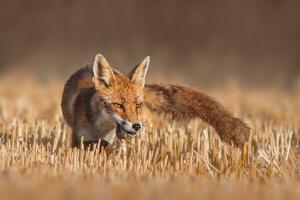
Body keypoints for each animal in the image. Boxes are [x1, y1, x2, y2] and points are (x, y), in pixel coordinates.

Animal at [61, 54, 251, 151]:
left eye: (138, 105)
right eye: (118, 105)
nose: (137, 126)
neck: (100, 126)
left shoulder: (107, 136)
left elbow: (107, 145)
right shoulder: (78, 140)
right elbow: (95, 145)